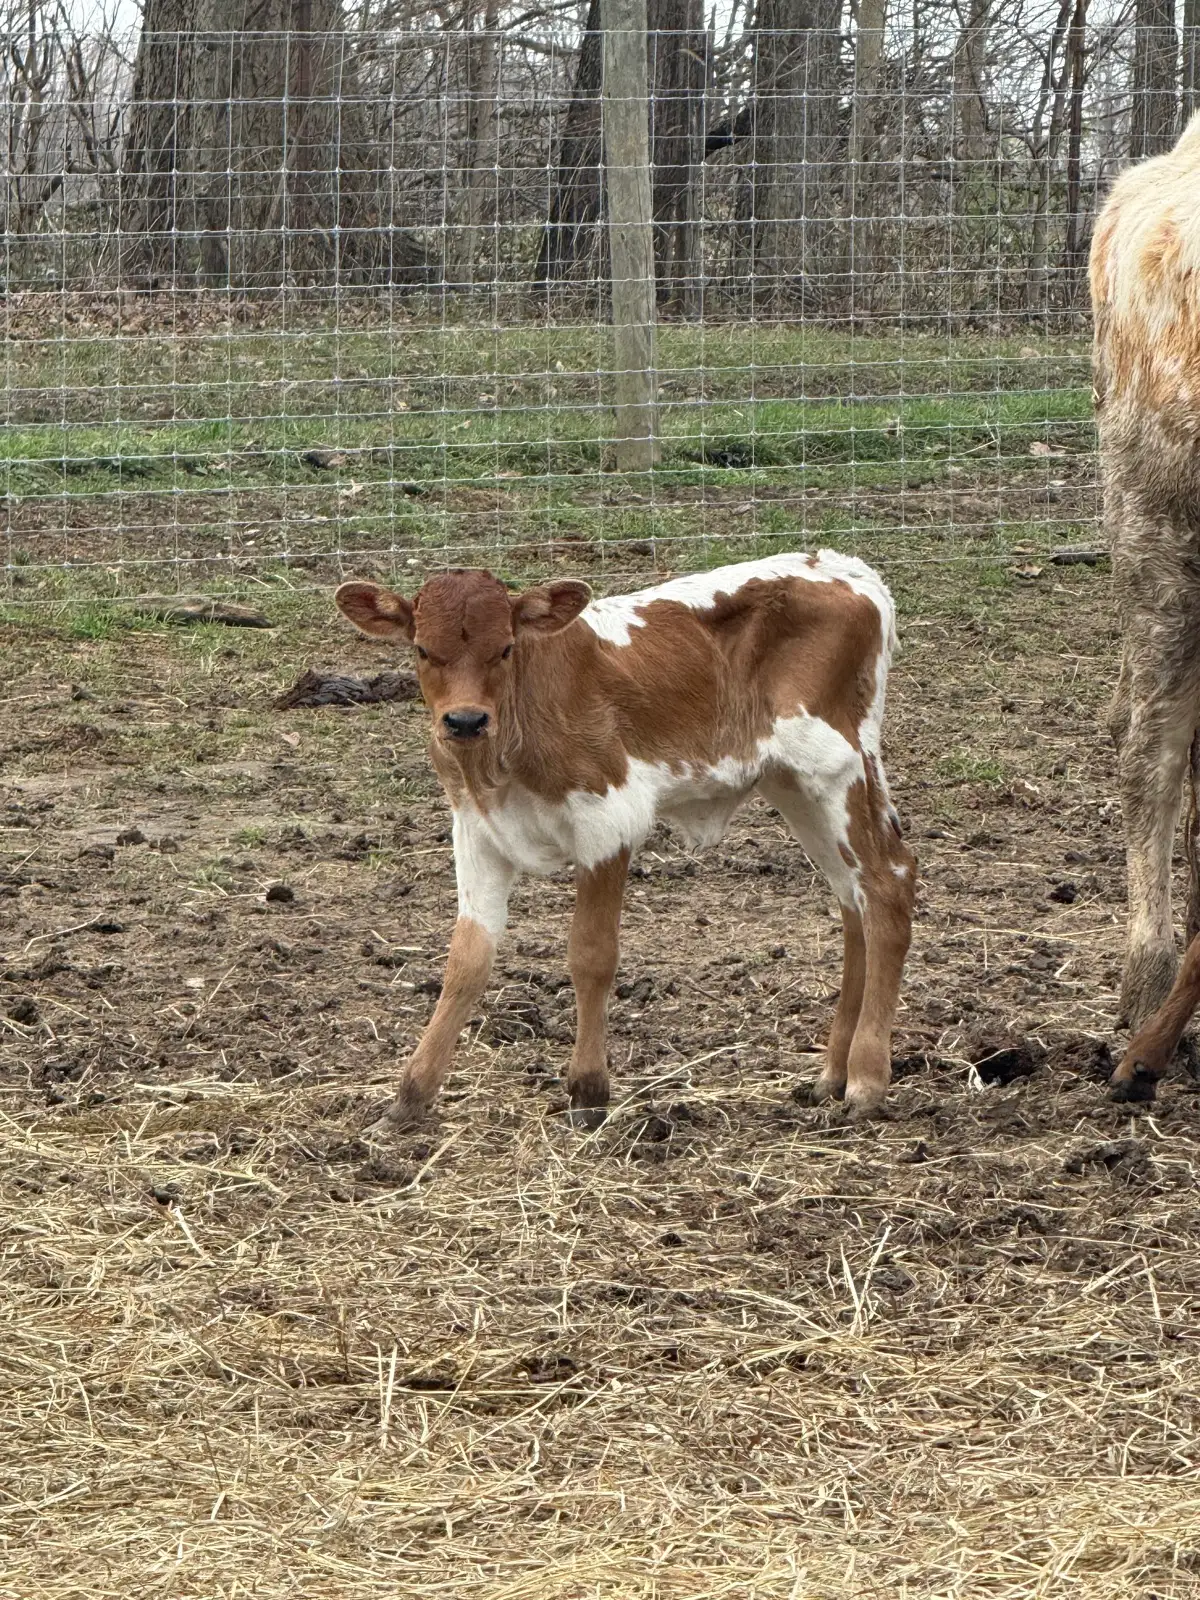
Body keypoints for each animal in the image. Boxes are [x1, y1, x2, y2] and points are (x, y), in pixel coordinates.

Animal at [335, 553, 915, 1129]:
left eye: (504, 648)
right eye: (421, 649)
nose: (465, 720)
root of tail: (845, 567)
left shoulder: (606, 818)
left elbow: (591, 954)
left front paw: (588, 1089)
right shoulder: (476, 831)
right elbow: (466, 961)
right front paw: (411, 1095)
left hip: (836, 767)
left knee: (887, 883)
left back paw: (866, 1079)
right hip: (794, 786)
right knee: (851, 897)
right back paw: (831, 1074)